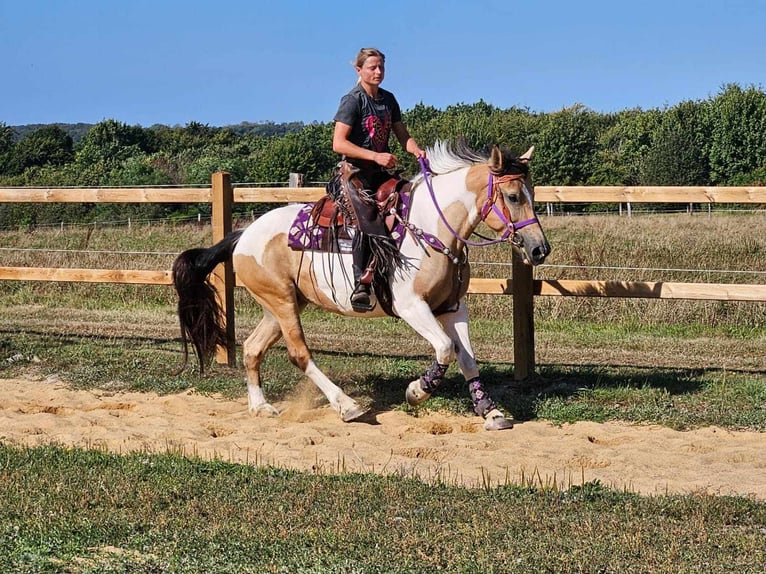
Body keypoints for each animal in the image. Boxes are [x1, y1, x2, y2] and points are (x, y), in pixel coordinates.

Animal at [172, 142, 552, 432]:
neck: (432, 228)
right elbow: (445, 349)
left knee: (252, 348)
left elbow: (468, 360)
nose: (539, 249)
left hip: (281, 305)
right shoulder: (412, 306)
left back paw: (260, 406)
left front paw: (491, 411)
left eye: (532, 194)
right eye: (513, 196)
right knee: (299, 354)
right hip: (282, 304)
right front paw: (417, 391)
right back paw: (347, 405)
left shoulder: (453, 308)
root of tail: (242, 235)